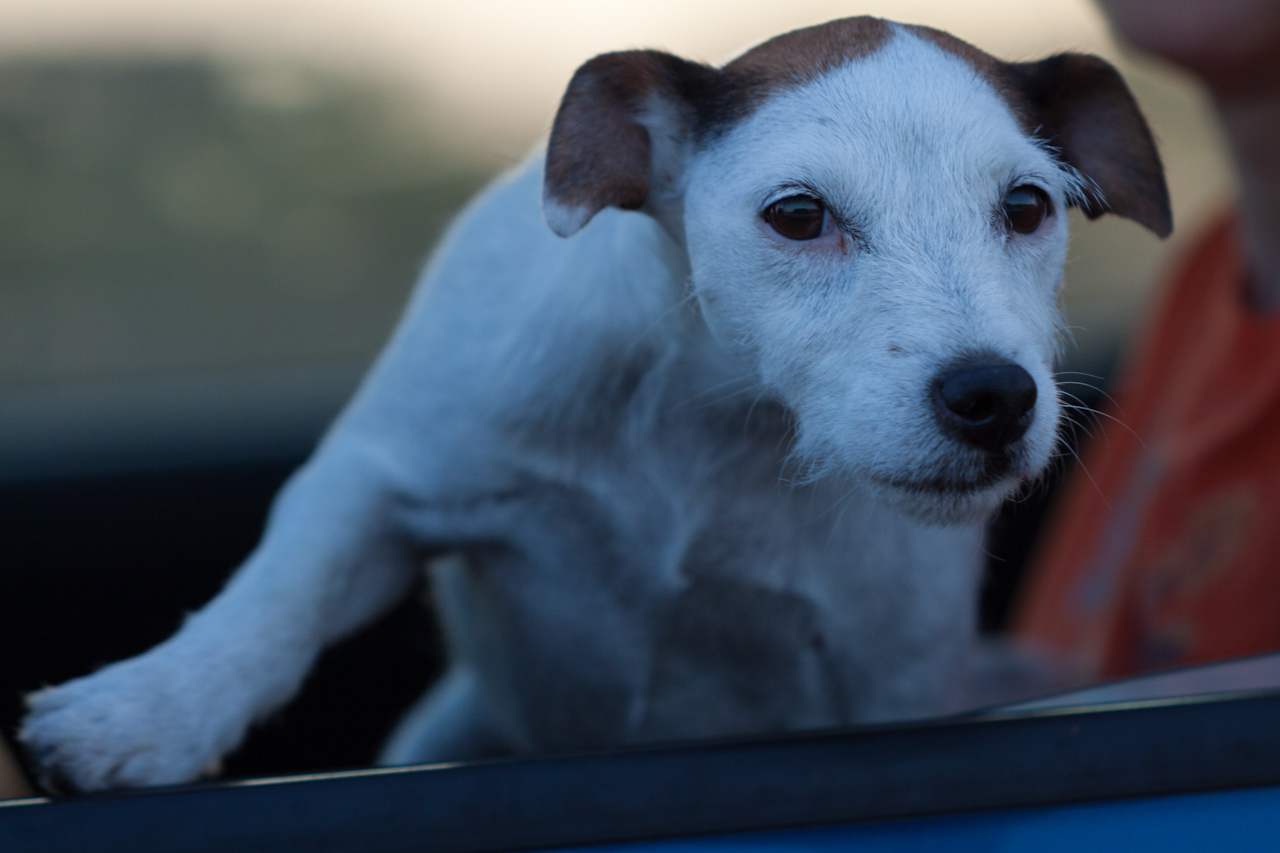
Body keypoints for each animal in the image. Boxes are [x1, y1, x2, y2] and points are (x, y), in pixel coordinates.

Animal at [19, 16, 1170, 792]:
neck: (719, 411)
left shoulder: (890, 663)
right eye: (797, 214)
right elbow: (278, 597)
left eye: (1026, 205)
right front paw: (145, 710)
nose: (991, 393)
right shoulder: (379, 479)